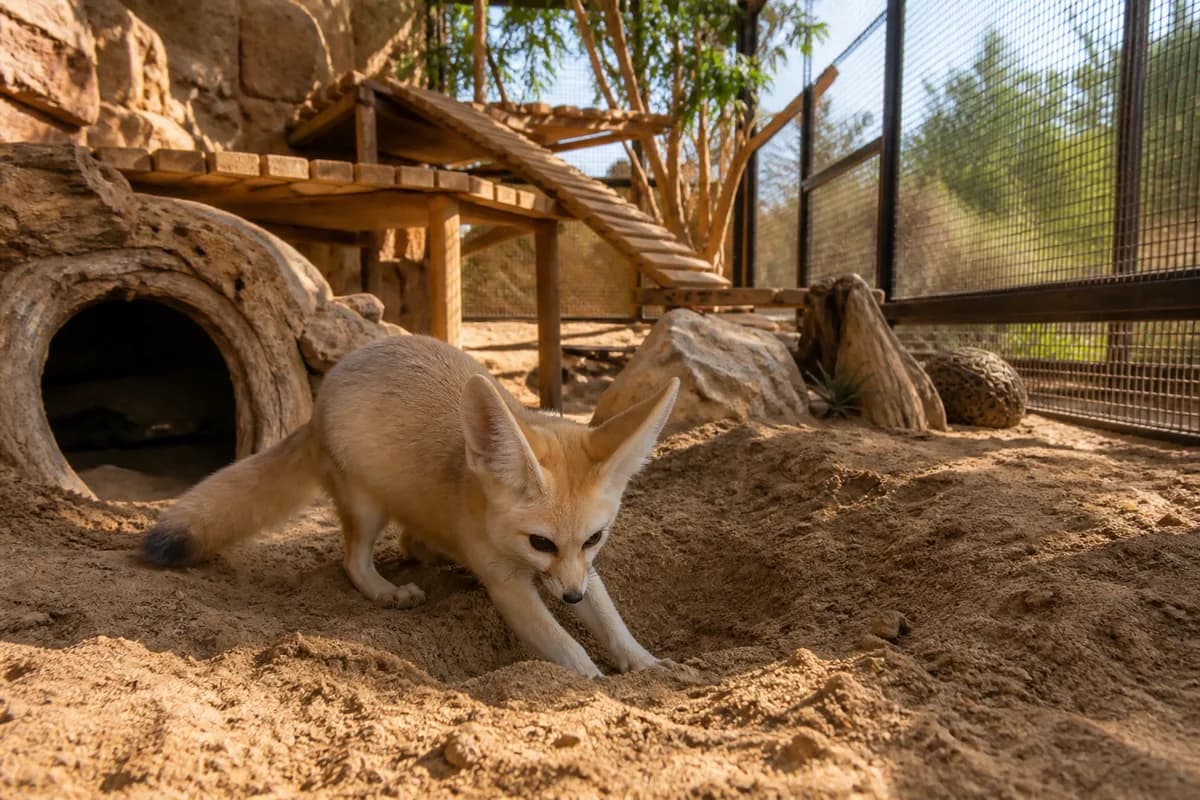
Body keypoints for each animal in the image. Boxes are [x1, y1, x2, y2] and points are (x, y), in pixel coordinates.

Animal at [140, 334, 680, 678]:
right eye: (540, 542)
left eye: (595, 538)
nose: (569, 598)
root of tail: (317, 405)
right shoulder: (510, 586)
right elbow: (566, 649)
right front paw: (598, 684)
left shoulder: (583, 570)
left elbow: (611, 623)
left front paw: (647, 665)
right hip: (365, 506)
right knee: (354, 560)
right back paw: (387, 590)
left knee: (409, 540)